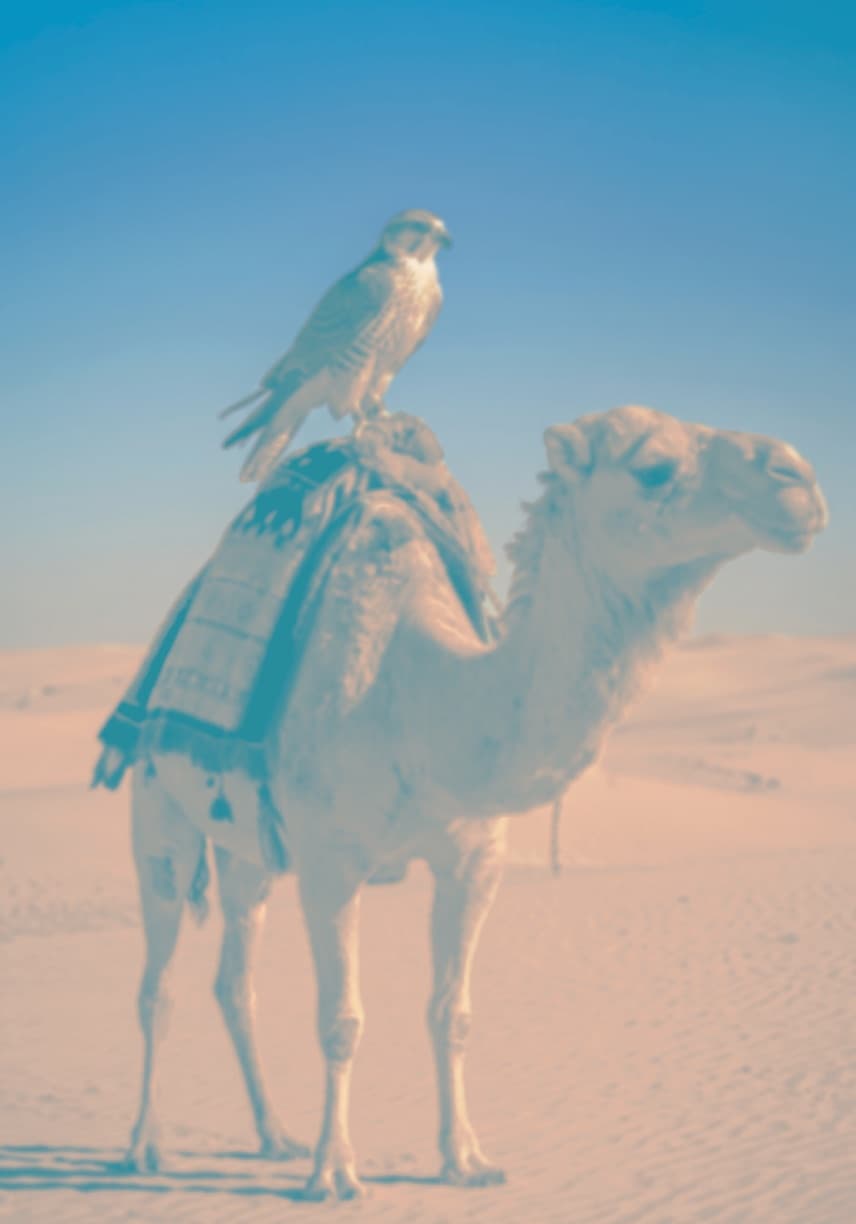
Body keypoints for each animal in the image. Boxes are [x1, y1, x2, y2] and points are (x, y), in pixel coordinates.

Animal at [120, 404, 826, 1199]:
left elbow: (450, 1013)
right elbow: (341, 1018)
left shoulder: (474, 858)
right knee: (159, 982)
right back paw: (146, 1146)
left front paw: (465, 1159)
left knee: (234, 981)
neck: (416, 694)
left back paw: (274, 1135)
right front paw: (334, 1172)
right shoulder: (332, 861)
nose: (797, 477)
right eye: (654, 468)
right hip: (157, 807)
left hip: (250, 853)